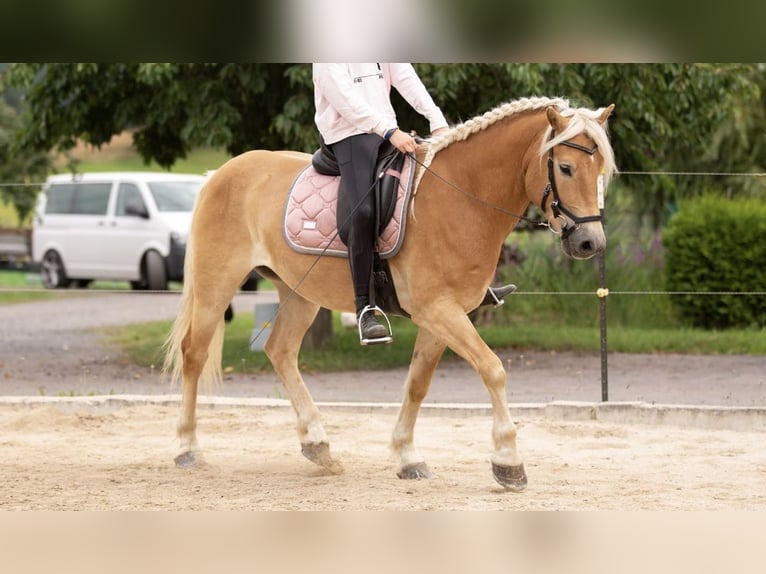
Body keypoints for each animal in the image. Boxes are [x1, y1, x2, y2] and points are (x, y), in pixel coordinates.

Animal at [163, 96, 616, 490]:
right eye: (565, 167)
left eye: (602, 171)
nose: (590, 243)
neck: (460, 197)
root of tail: (220, 174)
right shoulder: (439, 310)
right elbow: (493, 369)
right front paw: (508, 462)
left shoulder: (443, 317)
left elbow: (417, 384)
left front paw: (408, 457)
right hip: (215, 286)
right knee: (194, 354)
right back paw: (187, 447)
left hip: (299, 292)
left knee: (280, 351)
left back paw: (318, 444)